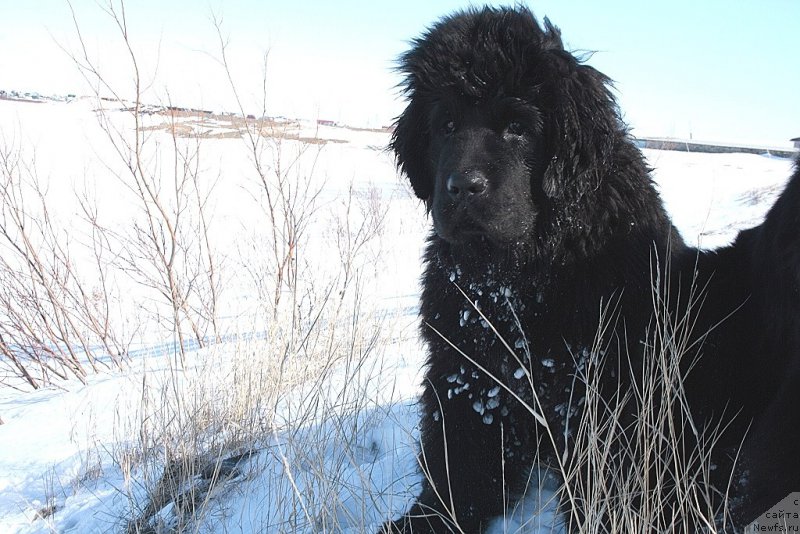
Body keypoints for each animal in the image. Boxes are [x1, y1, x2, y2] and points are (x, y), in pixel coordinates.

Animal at [380, 5, 800, 534]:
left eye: (518, 126)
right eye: (447, 125)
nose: (463, 186)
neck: (520, 277)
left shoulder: (604, 383)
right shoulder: (467, 368)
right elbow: (460, 456)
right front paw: (427, 518)